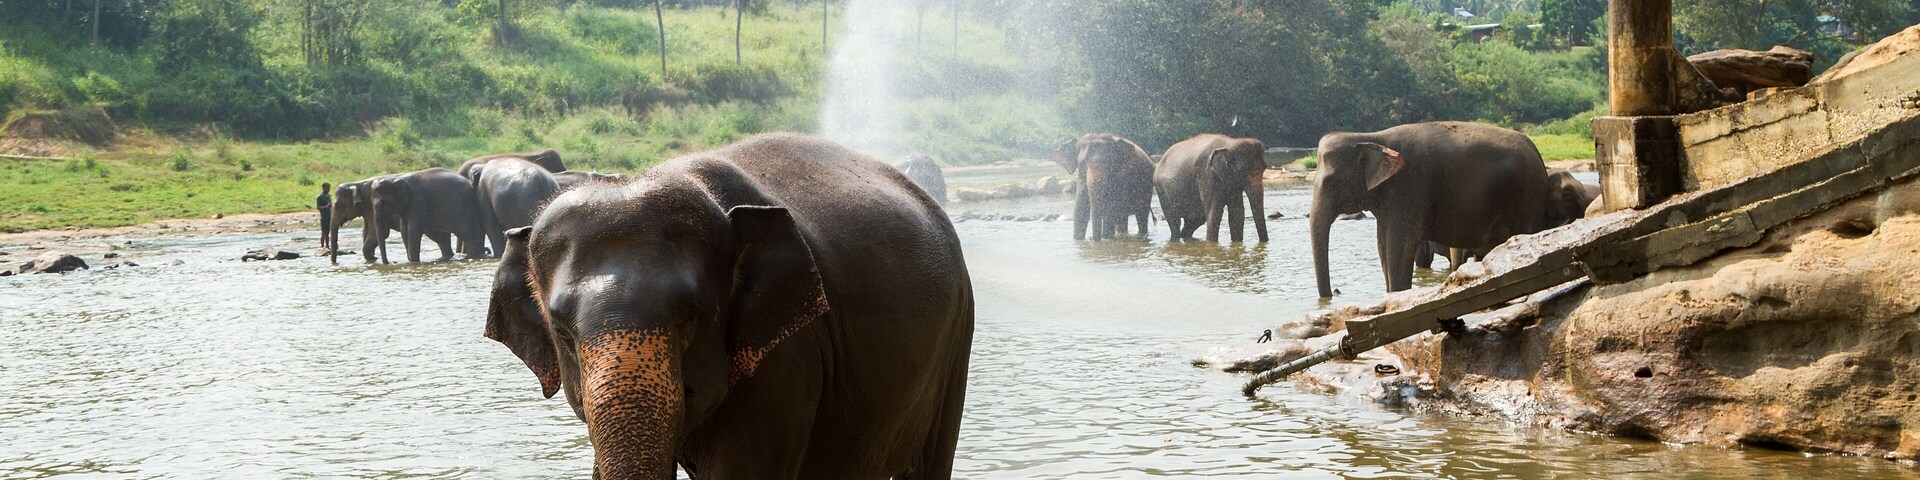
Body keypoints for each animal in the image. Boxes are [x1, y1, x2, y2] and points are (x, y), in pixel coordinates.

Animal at [1310, 121, 1557, 298]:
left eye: (1329, 183)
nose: (1334, 293)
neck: (1371, 137)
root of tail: (1537, 154)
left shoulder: (1410, 189)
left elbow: (1398, 246)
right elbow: (1383, 245)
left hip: (1527, 197)